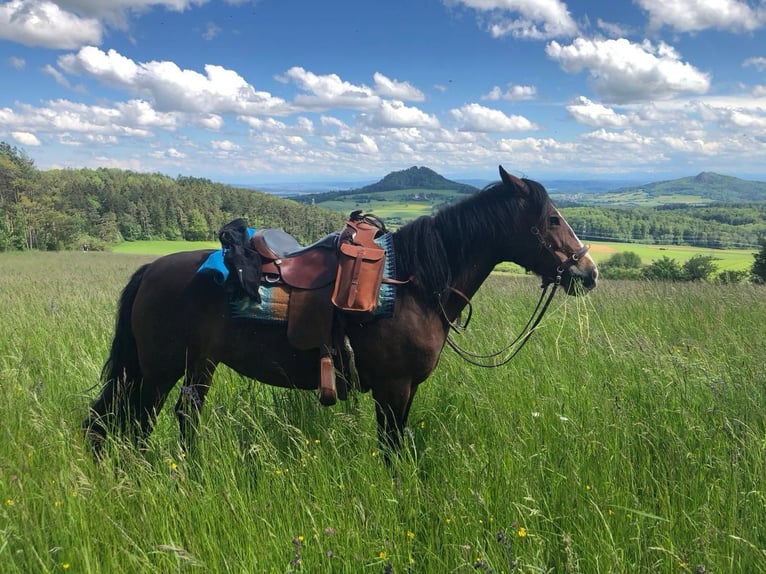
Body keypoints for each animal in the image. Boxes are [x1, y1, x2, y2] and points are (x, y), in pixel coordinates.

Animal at [84, 168, 600, 460]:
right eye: (552, 219)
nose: (588, 271)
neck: (412, 284)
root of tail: (151, 269)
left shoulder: (405, 390)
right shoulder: (393, 388)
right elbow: (392, 451)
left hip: (194, 366)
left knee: (162, 418)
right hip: (161, 368)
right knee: (139, 421)